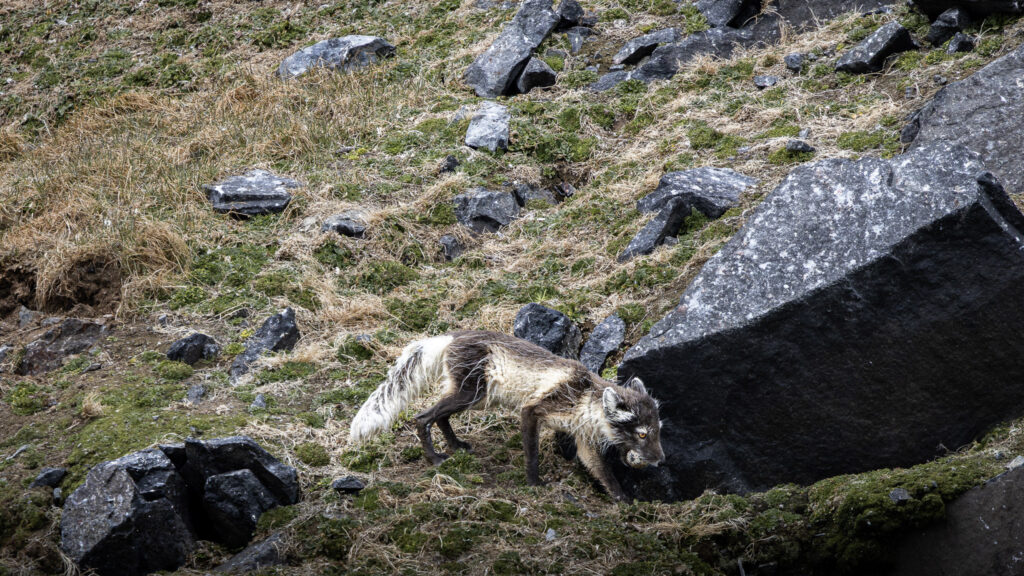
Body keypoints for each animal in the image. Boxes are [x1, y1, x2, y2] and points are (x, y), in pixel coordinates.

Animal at [348, 330, 665, 500]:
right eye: (642, 434)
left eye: (658, 430)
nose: (661, 460)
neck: (585, 399)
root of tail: (451, 336)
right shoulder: (534, 410)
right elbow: (532, 454)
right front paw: (535, 484)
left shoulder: (584, 440)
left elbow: (604, 474)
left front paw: (625, 503)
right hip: (471, 393)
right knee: (423, 417)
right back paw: (435, 458)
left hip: (471, 396)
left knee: (440, 416)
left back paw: (456, 446)